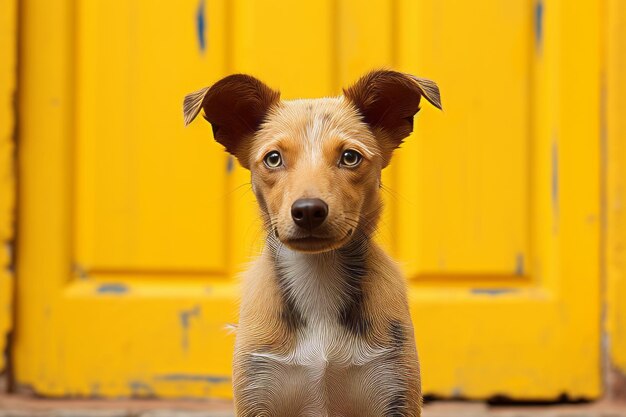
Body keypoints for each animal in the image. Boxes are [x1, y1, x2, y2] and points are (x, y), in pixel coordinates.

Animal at [183, 70, 442, 416]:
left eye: (350, 157)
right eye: (273, 158)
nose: (308, 211)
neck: (318, 274)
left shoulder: (395, 389)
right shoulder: (257, 391)